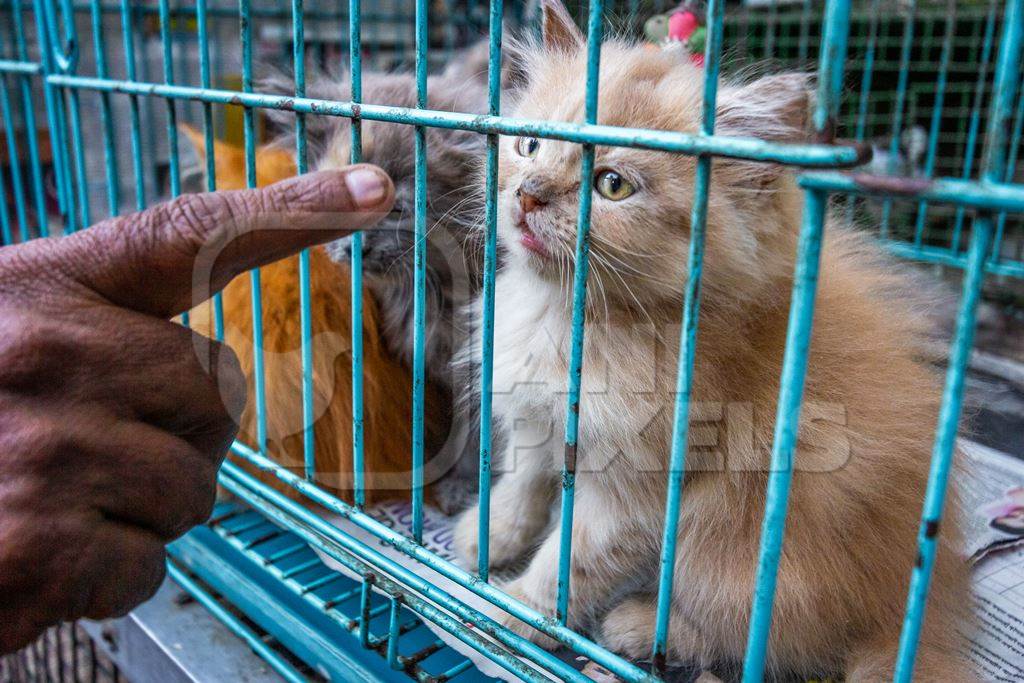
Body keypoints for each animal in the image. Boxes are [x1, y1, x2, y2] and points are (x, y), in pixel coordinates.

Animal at [452, 2, 970, 679]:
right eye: (529, 143)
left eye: (613, 185)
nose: (529, 193)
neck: (567, 318)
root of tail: (905, 610)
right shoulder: (543, 422)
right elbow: (523, 483)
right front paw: (489, 535)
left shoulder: (635, 492)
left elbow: (571, 561)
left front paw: (518, 611)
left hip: (736, 556)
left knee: (751, 639)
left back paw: (640, 628)